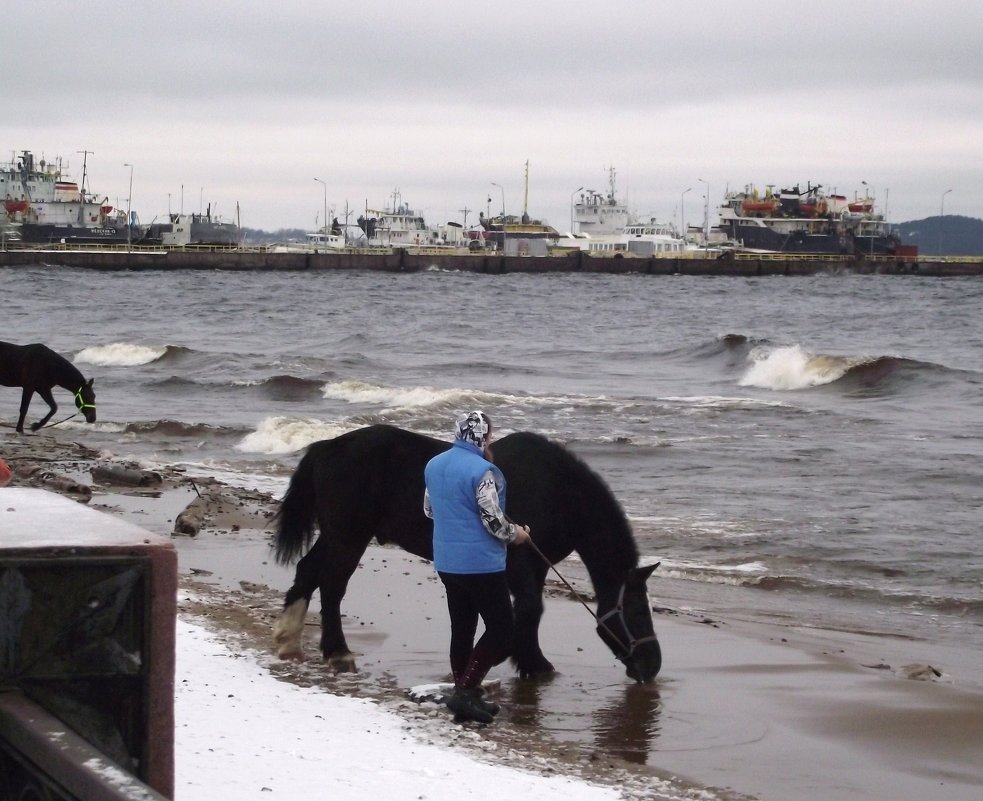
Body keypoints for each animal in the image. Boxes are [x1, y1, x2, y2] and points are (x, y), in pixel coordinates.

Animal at [272, 424, 664, 680]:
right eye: (637, 611)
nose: (652, 665)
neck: (557, 493)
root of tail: (327, 448)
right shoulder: (521, 562)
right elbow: (530, 611)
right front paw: (531, 663)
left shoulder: (535, 567)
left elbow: (529, 611)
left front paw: (529, 662)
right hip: (349, 536)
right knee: (332, 586)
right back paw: (338, 653)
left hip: (335, 535)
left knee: (308, 571)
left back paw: (288, 640)